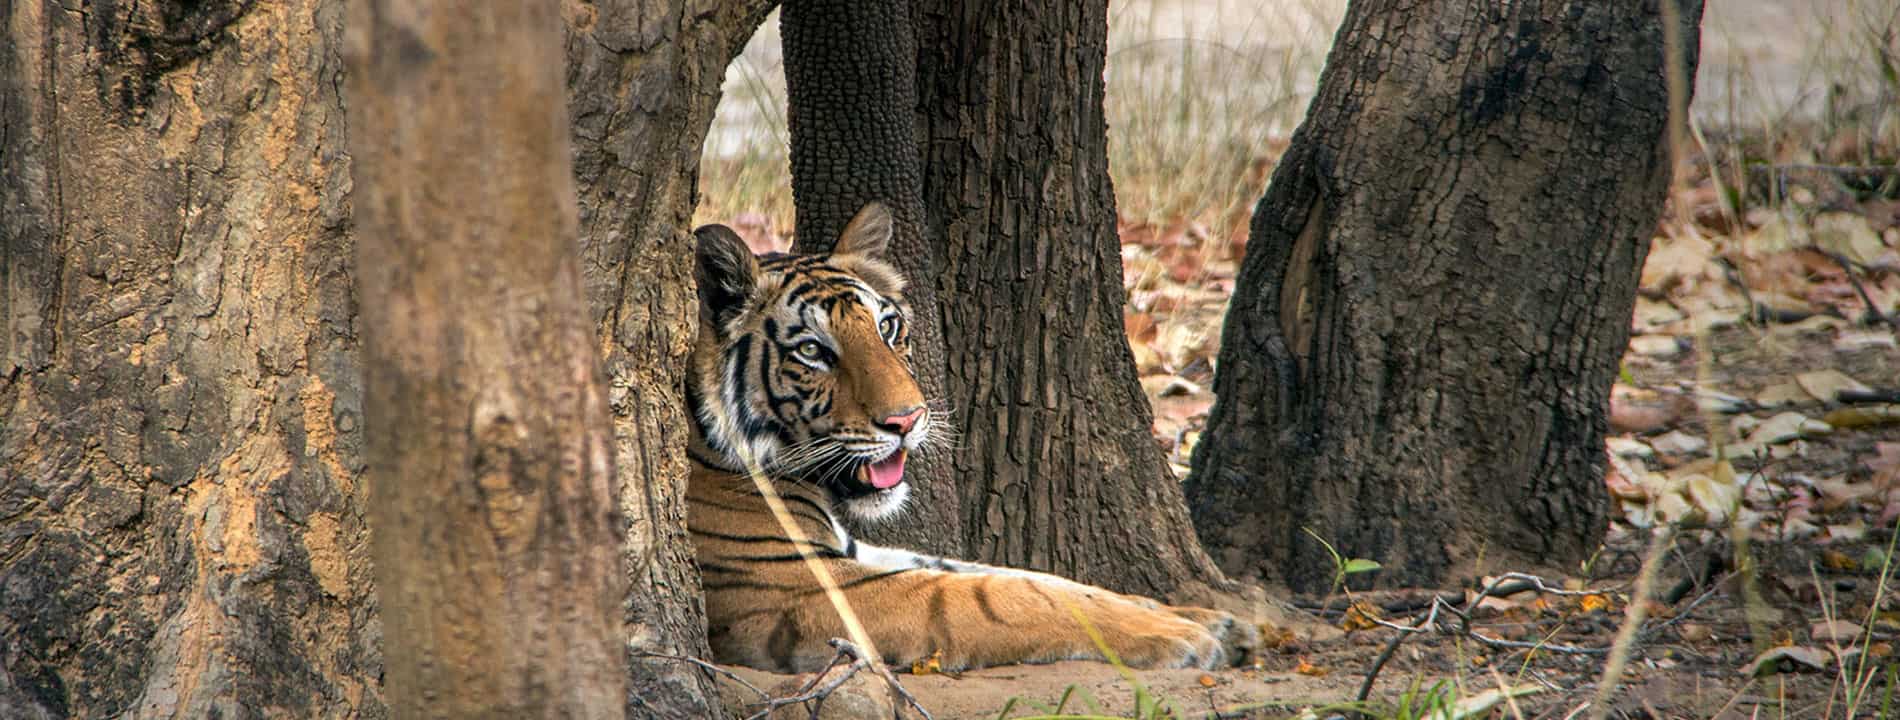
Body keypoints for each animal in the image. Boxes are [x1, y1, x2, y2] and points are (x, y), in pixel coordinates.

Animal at [687, 203, 1261, 676]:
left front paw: (1210, 618)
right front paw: (1181, 633)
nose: (908, 420)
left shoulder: (852, 553)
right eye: (811, 351)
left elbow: (1037, 577)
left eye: (886, 327)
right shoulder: (803, 587)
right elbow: (1007, 593)